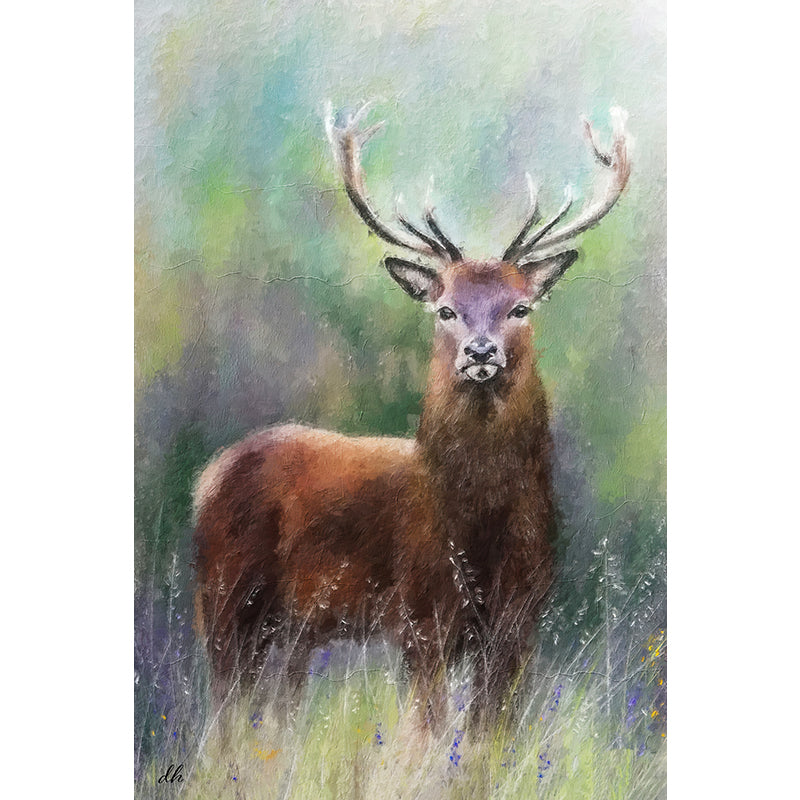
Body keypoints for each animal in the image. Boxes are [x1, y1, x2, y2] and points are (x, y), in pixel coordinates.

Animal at [192, 104, 631, 727]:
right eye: (445, 308)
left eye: (520, 307)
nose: (480, 352)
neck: (479, 530)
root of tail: (208, 476)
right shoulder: (421, 614)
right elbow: (428, 731)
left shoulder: (520, 623)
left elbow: (488, 739)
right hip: (226, 596)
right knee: (224, 715)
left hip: (291, 627)